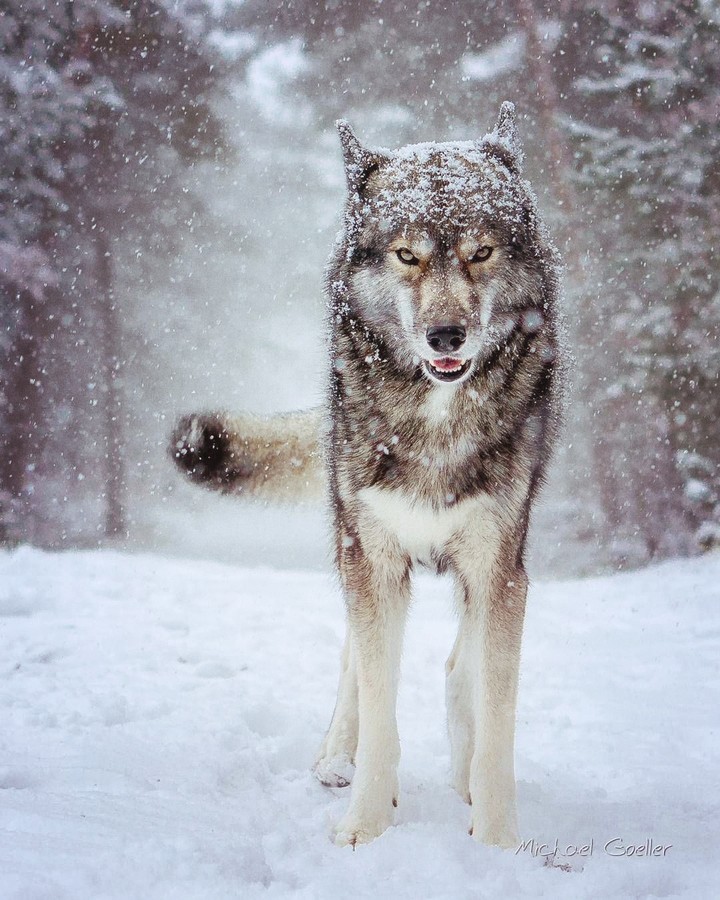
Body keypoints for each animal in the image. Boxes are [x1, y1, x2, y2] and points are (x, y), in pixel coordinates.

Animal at [171, 102, 564, 849]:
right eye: (408, 255)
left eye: (480, 253)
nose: (446, 336)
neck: (435, 420)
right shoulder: (373, 558)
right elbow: (380, 706)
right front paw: (366, 826)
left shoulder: (500, 569)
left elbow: (495, 717)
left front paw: (498, 841)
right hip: (352, 541)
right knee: (355, 659)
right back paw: (335, 759)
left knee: (456, 667)